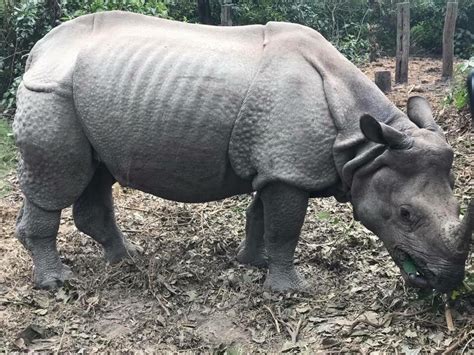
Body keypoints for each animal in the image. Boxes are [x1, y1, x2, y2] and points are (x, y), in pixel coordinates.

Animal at [13, 11, 470, 294]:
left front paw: (253, 263)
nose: (446, 281)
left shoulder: (275, 166)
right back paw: (57, 282)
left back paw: (126, 259)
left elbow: (261, 217)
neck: (366, 147)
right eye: (406, 215)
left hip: (87, 99)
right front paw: (289, 291)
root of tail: (38, 51)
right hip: (51, 95)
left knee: (96, 174)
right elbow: (286, 226)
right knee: (58, 182)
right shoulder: (288, 170)